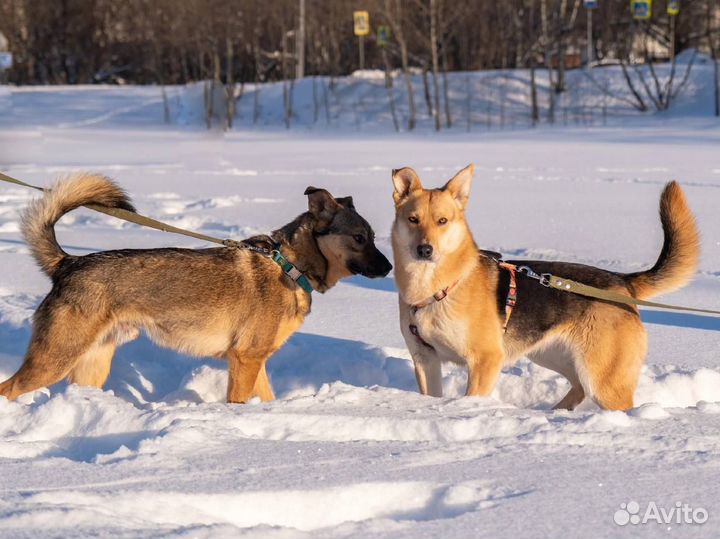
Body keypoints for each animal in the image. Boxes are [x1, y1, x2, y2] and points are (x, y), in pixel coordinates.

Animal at [0, 171, 390, 402]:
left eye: (373, 236)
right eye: (359, 238)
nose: (389, 268)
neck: (290, 265)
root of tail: (68, 263)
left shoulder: (255, 361)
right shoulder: (244, 359)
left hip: (90, 366)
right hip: (53, 360)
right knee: (8, 388)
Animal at [390, 165, 700, 410]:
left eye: (442, 221)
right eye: (413, 219)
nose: (425, 250)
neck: (439, 288)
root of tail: (622, 280)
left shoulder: (484, 361)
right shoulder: (425, 360)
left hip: (603, 379)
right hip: (551, 355)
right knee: (578, 388)